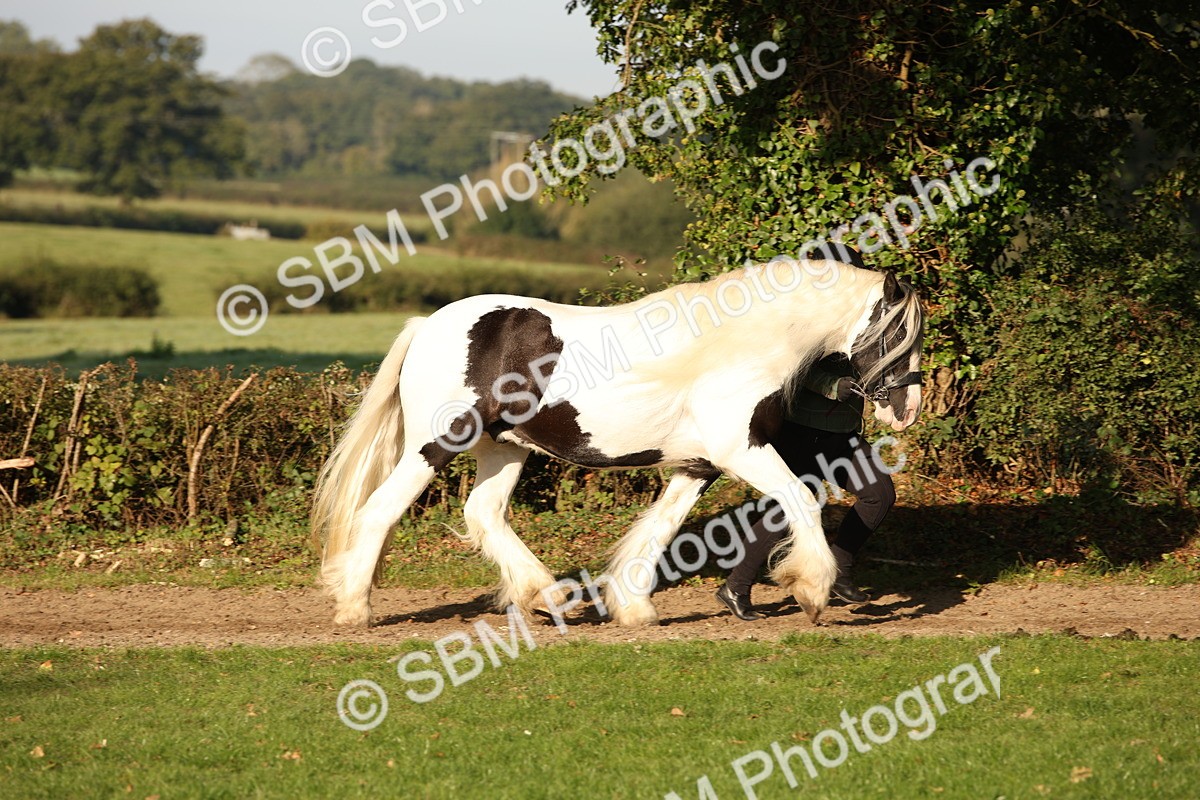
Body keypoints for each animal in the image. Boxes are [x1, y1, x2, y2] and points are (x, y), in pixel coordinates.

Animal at [311, 256, 924, 628]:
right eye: (900, 332)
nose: (908, 410)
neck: (744, 345)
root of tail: (427, 325)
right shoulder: (741, 451)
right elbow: (799, 499)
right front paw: (813, 589)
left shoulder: (698, 466)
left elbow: (661, 528)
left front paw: (633, 608)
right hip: (436, 444)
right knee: (380, 511)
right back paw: (354, 608)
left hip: (504, 448)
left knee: (483, 513)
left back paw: (548, 596)